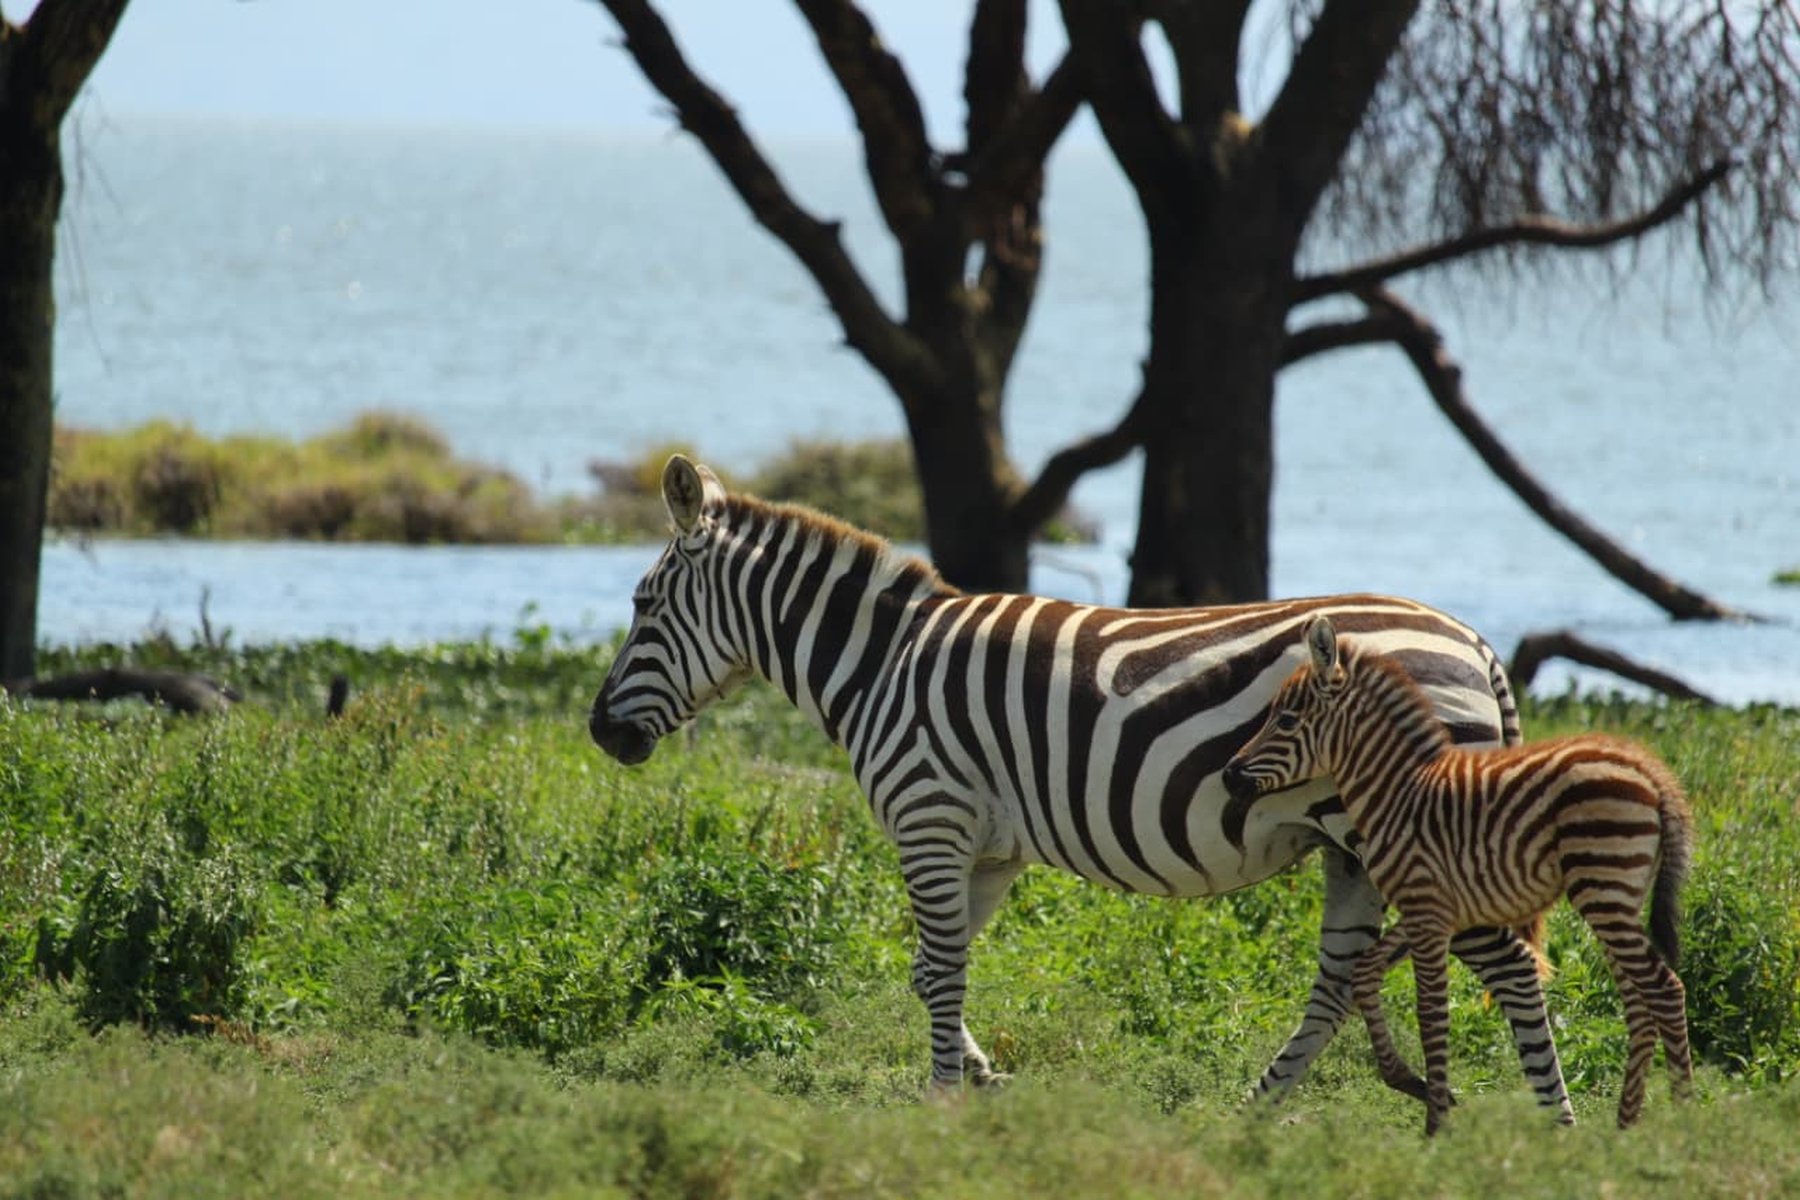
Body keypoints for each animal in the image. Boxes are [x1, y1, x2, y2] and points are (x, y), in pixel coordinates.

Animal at [588, 455, 1572, 1108]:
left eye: (641, 606)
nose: (600, 732)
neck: (882, 664)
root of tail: (1474, 643)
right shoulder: (987, 849)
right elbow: (928, 970)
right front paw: (980, 1076)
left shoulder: (929, 815)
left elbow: (942, 969)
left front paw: (940, 1102)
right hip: (1353, 849)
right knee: (1337, 981)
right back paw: (1255, 1111)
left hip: (1413, 838)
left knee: (1512, 970)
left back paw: (1553, 1127)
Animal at [1222, 614, 1694, 1132]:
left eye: (1285, 720)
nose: (1227, 775)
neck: (1399, 791)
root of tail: (1652, 774)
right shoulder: (1431, 907)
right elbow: (1366, 972)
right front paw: (1411, 1082)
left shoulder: (1428, 908)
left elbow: (1430, 1013)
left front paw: (1436, 1125)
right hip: (1618, 895)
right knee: (1639, 998)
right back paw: (1627, 1124)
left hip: (1603, 888)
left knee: (1664, 990)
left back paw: (1682, 1118)